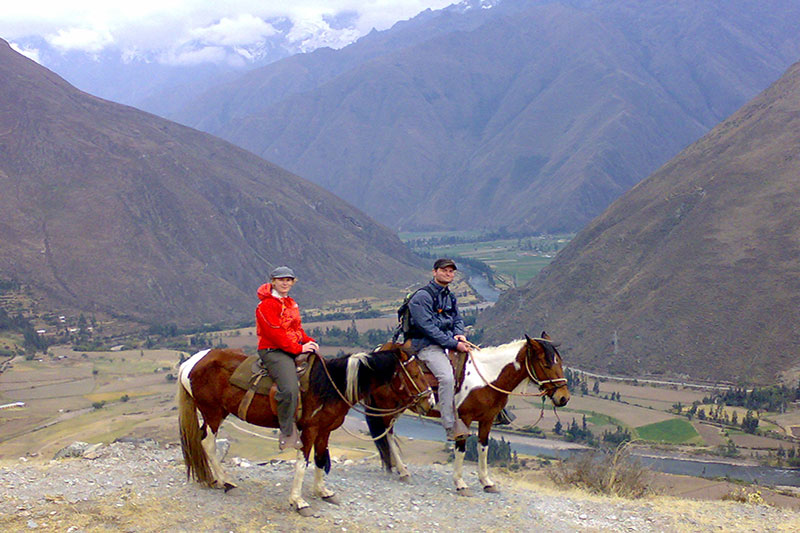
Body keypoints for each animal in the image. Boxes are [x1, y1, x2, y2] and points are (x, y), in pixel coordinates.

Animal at [179, 348, 434, 512]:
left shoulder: (325, 430)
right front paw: (298, 501)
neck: (331, 385)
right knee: (207, 443)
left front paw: (323, 491)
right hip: (213, 413)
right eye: (416, 373)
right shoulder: (309, 430)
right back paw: (225, 482)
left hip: (215, 413)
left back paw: (214, 479)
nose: (430, 402)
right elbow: (303, 463)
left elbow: (320, 459)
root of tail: (192, 362)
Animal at [366, 334, 564, 492]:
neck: (487, 377)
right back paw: (402, 471)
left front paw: (486, 482)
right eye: (546, 364)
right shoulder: (464, 419)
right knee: (388, 435)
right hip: (387, 407)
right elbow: (461, 449)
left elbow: (483, 448)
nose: (564, 397)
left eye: (560, 363)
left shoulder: (487, 419)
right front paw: (460, 483)